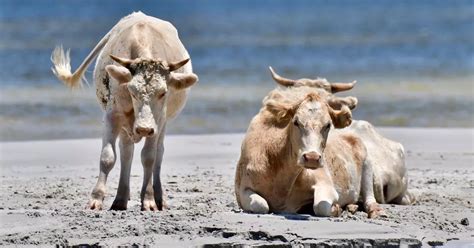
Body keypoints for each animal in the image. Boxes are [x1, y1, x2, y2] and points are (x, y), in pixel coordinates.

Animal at [48, 11, 196, 211]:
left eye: (163, 92)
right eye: (132, 90)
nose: (143, 129)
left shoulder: (157, 122)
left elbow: (149, 157)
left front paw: (148, 200)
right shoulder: (113, 115)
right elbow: (108, 157)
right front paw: (96, 199)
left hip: (162, 124)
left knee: (158, 153)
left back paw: (158, 198)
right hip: (127, 125)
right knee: (126, 151)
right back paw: (120, 198)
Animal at [233, 86, 386, 218]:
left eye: (328, 125)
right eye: (296, 122)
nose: (312, 157)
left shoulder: (326, 184)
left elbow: (321, 206)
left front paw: (336, 208)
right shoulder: (242, 190)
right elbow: (260, 205)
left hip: (367, 163)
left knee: (369, 197)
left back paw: (375, 210)